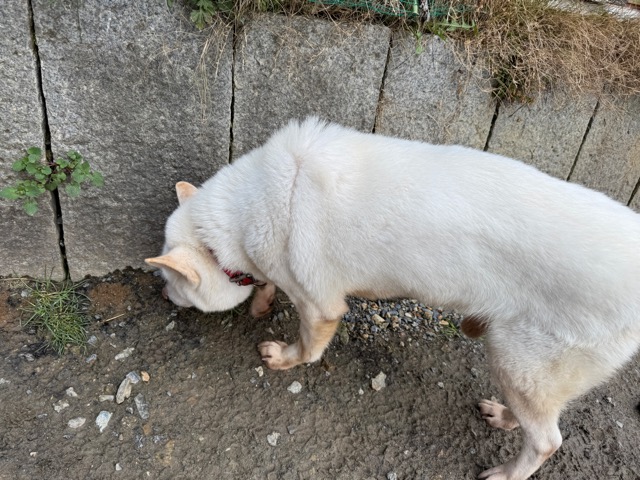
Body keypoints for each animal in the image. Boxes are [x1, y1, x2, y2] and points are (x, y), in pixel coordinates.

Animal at [146, 117, 640, 480]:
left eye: (170, 280)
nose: (163, 295)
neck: (247, 210)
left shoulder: (320, 305)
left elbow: (307, 346)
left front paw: (283, 358)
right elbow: (265, 283)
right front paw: (261, 302)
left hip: (519, 359)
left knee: (547, 441)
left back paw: (505, 473)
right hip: (527, 371)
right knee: (540, 416)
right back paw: (502, 416)